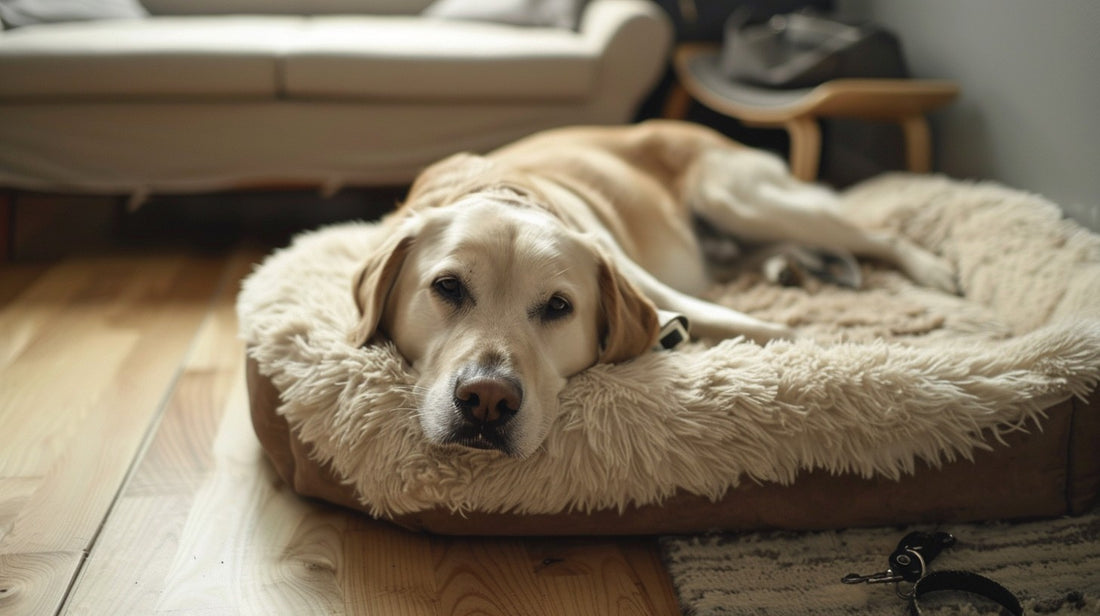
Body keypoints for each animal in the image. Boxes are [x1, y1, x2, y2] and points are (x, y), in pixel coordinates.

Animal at [352, 120, 954, 457]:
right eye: (448, 287)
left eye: (558, 306)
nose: (487, 400)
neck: (505, 191)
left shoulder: (651, 287)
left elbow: (750, 323)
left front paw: (822, 349)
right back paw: (786, 268)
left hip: (738, 198)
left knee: (877, 233)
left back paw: (933, 271)